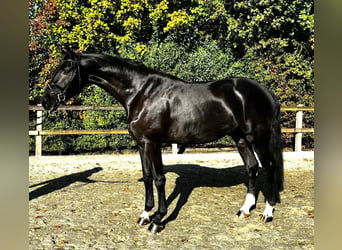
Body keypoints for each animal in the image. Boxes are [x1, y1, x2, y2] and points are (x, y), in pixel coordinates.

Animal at [42, 49, 284, 233]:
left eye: (66, 69)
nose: (45, 101)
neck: (140, 93)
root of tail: (264, 91)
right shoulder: (141, 144)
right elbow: (147, 177)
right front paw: (144, 215)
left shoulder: (153, 143)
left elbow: (159, 179)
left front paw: (158, 219)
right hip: (240, 138)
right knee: (252, 167)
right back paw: (245, 209)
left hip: (258, 138)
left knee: (268, 168)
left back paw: (267, 212)